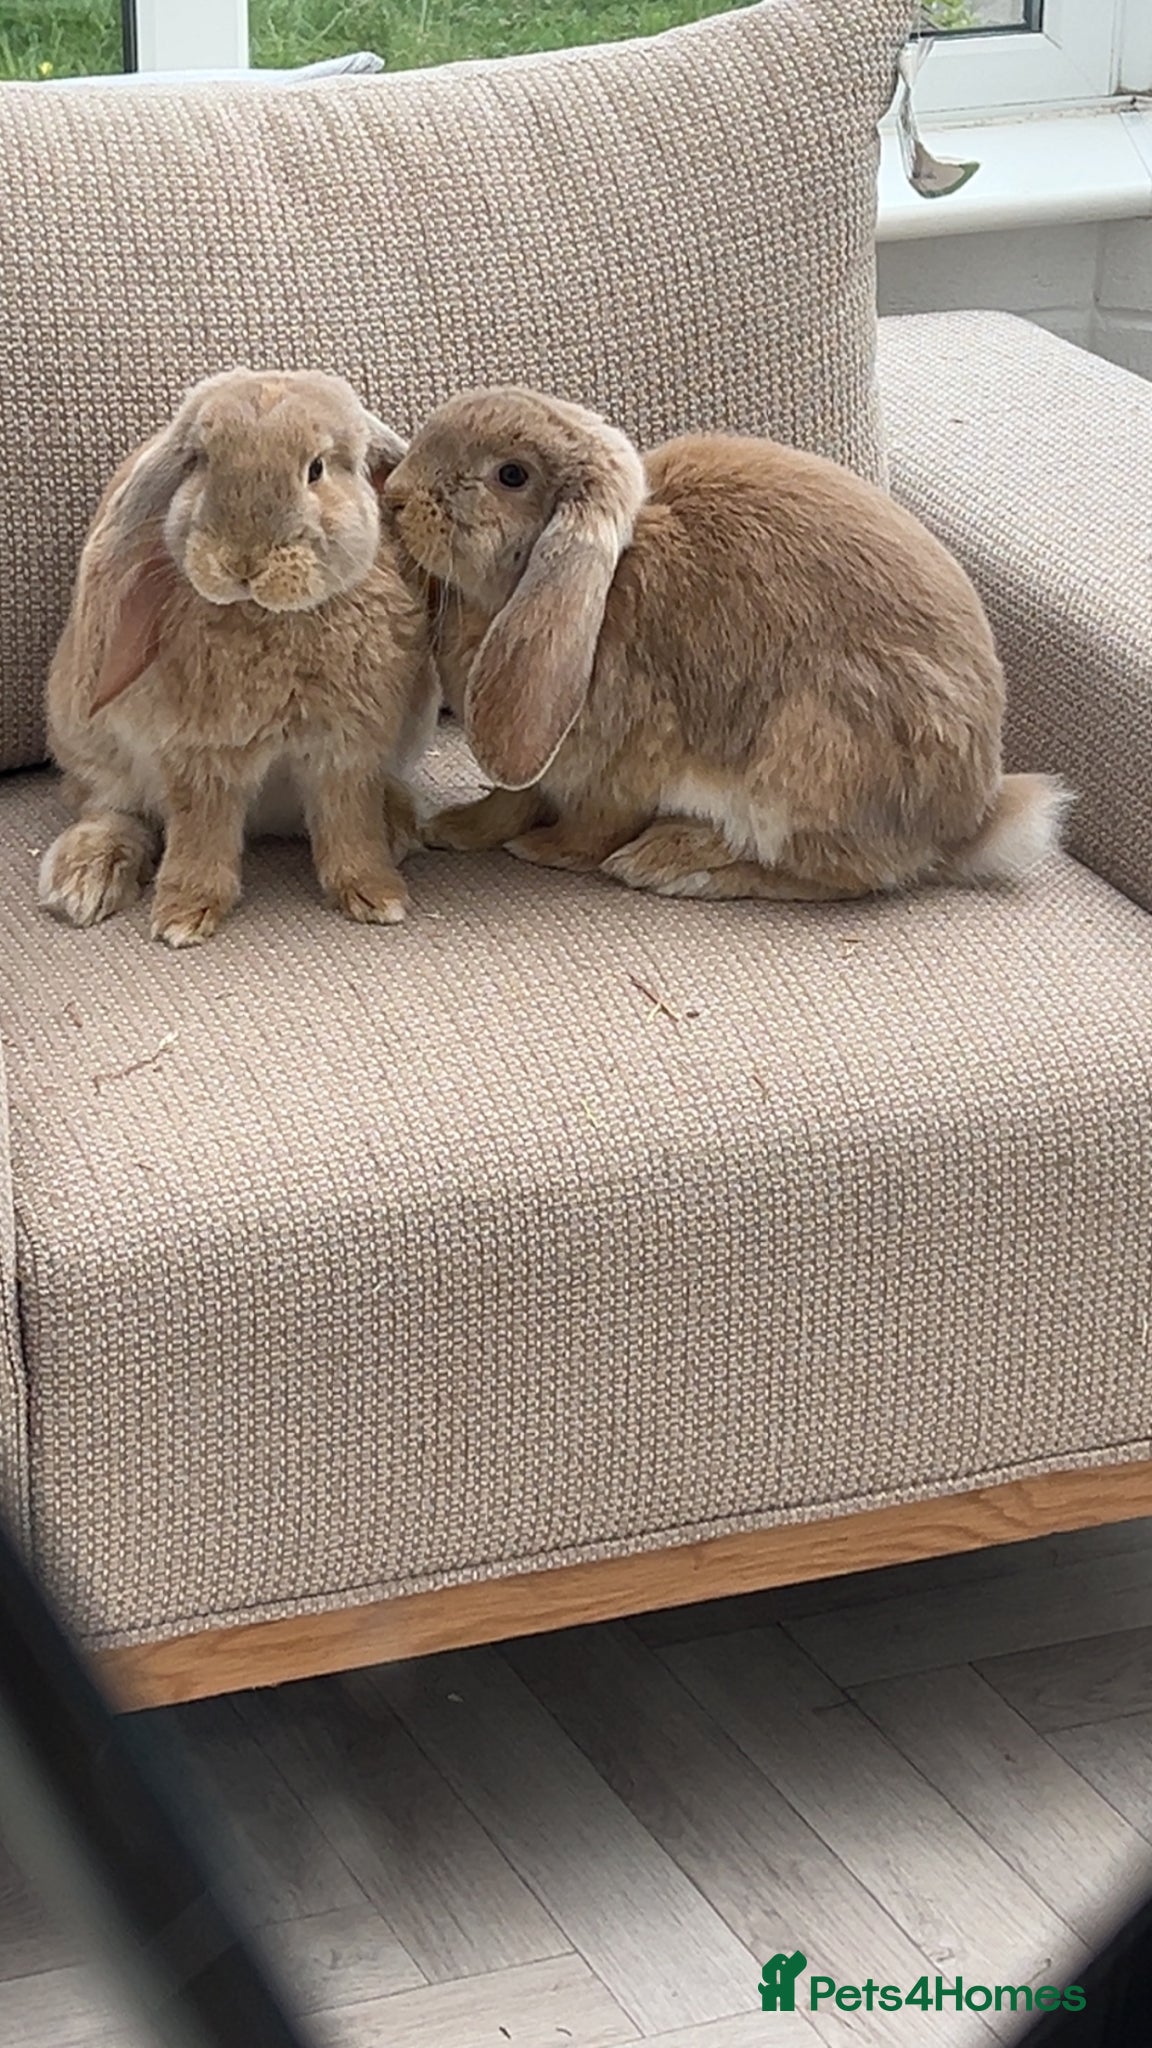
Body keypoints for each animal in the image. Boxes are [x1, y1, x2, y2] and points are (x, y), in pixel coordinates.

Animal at [40, 368, 438, 947]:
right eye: (201, 462)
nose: (243, 561)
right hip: (92, 749)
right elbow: (200, 836)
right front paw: (183, 917)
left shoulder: (346, 752)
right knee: (108, 807)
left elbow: (349, 826)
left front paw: (376, 896)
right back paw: (86, 879)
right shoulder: (201, 756)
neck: (267, 617)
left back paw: (398, 824)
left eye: (316, 468)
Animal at [384, 387, 1069, 901]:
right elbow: (511, 798)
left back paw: (673, 864)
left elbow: (592, 824)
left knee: (835, 876)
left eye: (511, 475)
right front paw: (455, 828)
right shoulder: (539, 769)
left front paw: (546, 850)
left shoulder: (623, 761)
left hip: (811, 752)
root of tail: (968, 819)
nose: (394, 497)